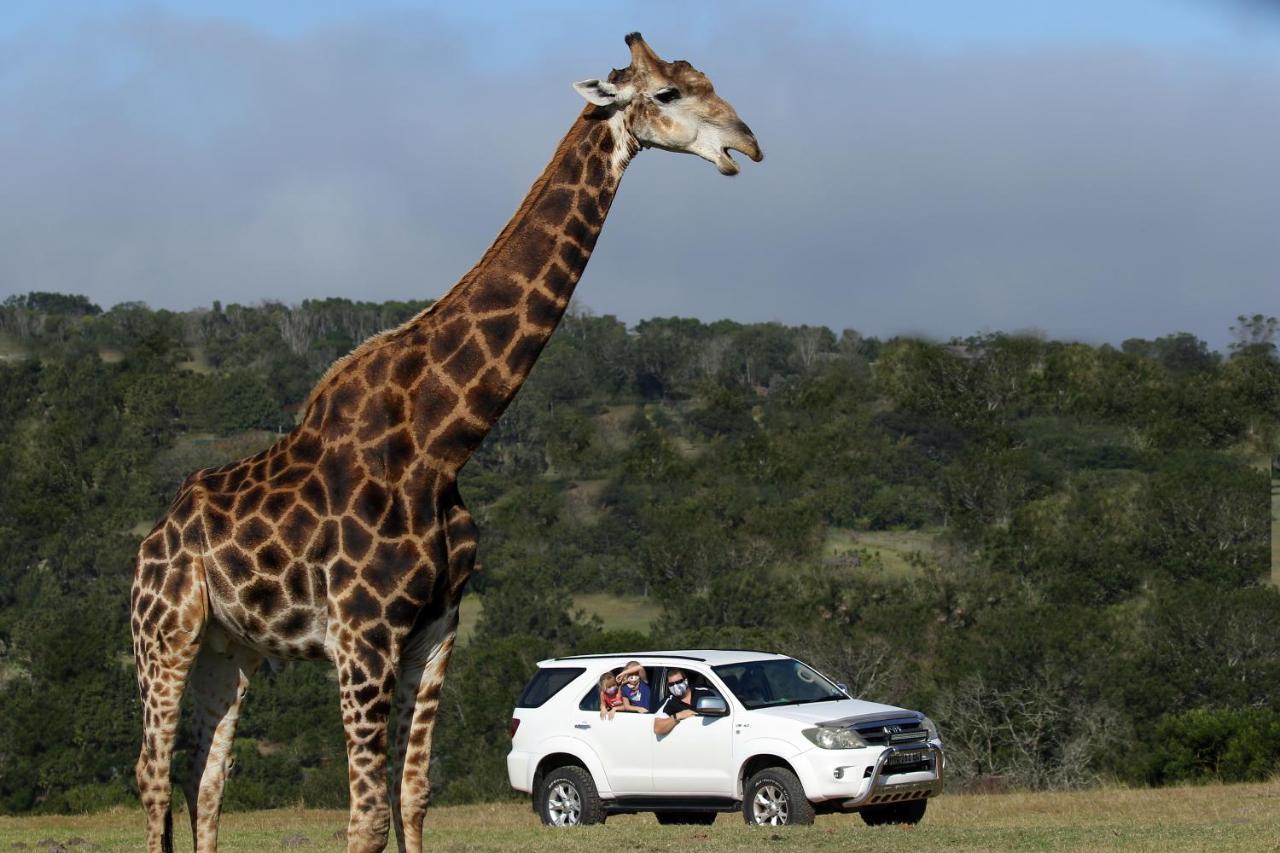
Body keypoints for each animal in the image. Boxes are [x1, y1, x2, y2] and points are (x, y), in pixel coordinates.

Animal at [132, 33, 757, 850]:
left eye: (707, 79)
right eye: (667, 94)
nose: (745, 143)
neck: (441, 441)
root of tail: (155, 536)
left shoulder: (436, 630)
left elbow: (413, 794)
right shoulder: (363, 635)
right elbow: (367, 814)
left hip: (229, 648)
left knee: (204, 779)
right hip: (163, 633)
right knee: (151, 779)